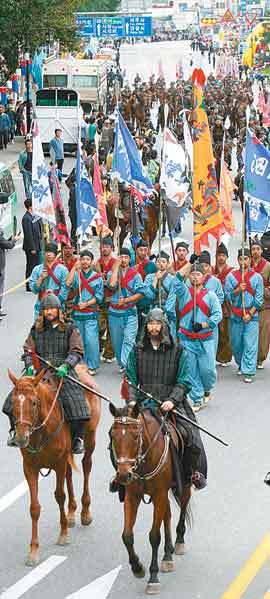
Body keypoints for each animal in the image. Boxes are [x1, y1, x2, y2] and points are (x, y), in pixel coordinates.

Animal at [8, 366, 101, 568]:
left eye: (34, 403)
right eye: (13, 402)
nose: (21, 437)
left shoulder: (58, 463)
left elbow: (59, 496)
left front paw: (63, 534)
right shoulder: (29, 467)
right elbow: (34, 508)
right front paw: (33, 551)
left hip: (90, 438)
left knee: (86, 466)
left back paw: (85, 512)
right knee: (69, 474)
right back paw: (72, 513)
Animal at [109, 404, 192, 596]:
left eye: (135, 436)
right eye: (112, 435)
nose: (124, 474)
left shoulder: (160, 493)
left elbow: (154, 536)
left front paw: (153, 578)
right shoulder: (133, 496)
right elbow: (127, 535)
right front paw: (137, 567)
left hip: (183, 485)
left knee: (183, 505)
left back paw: (179, 542)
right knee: (167, 514)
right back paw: (167, 555)